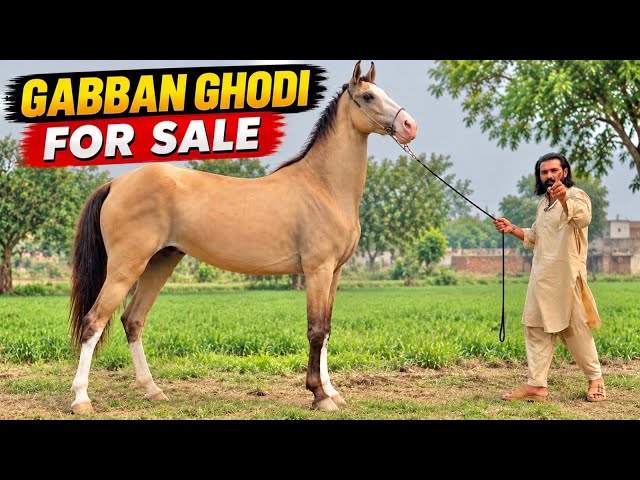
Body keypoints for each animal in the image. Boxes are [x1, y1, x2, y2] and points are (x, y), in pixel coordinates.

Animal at [68, 60, 418, 414]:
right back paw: (82, 399)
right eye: (369, 96)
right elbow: (316, 331)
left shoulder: (335, 272)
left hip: (159, 263)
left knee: (132, 320)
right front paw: (319, 395)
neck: (322, 186)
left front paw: (332, 391)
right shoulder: (317, 270)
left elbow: (328, 330)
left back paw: (152, 389)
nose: (409, 125)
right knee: (93, 323)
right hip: (126, 267)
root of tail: (116, 183)